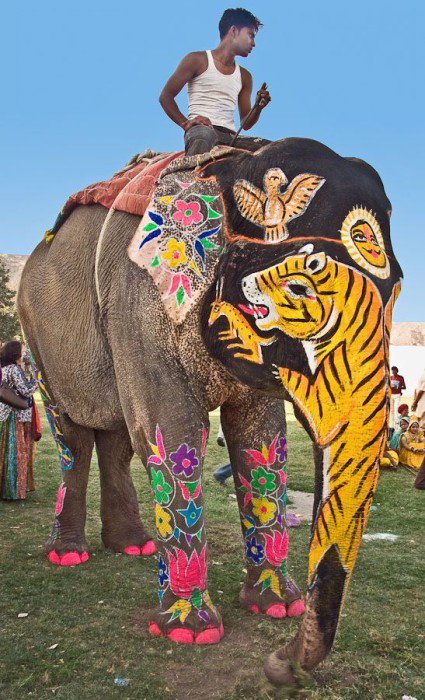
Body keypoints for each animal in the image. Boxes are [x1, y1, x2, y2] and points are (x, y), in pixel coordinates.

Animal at [18, 137, 402, 684]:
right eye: (297, 289)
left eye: (399, 288)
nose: (278, 666)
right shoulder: (141, 306)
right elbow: (172, 429)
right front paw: (190, 633)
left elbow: (260, 438)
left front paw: (276, 607)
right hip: (39, 341)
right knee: (73, 435)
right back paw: (70, 556)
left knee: (117, 438)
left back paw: (133, 546)